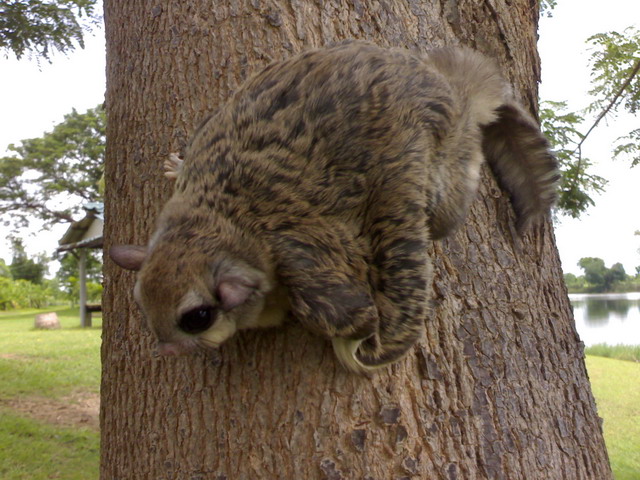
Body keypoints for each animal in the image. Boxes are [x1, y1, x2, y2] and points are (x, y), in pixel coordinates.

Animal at [111, 40, 560, 376]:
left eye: (197, 317)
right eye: (142, 304)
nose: (166, 351)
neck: (217, 219)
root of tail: (439, 83)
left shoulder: (303, 258)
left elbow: (351, 314)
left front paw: (356, 336)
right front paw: (177, 166)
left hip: (433, 170)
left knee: (454, 180)